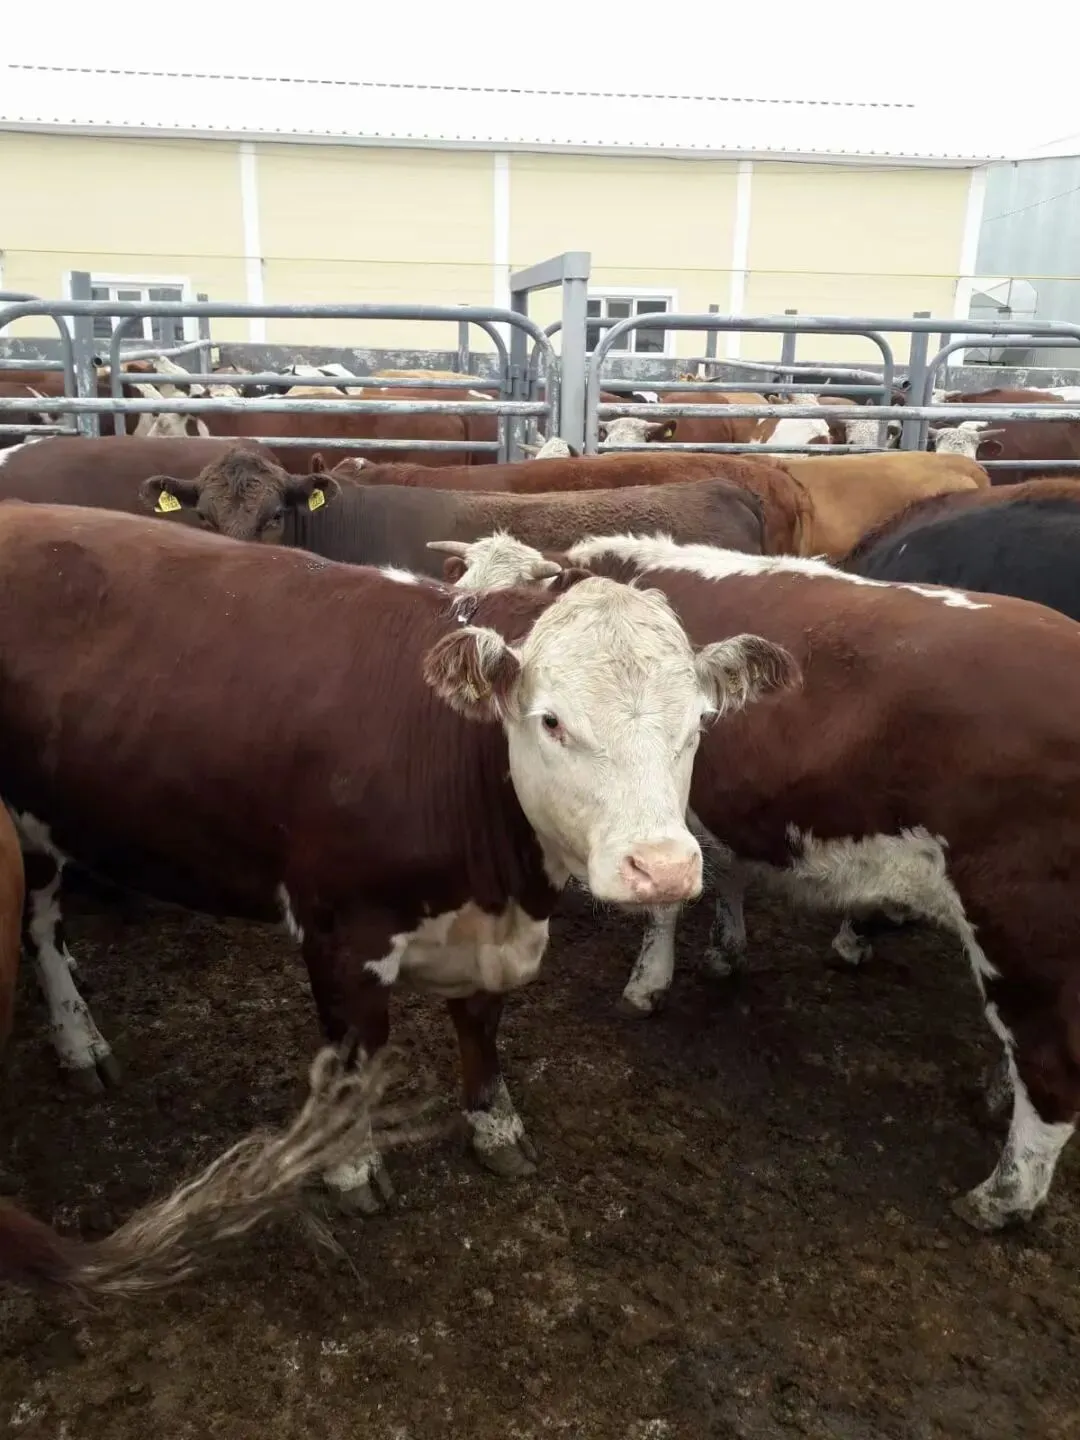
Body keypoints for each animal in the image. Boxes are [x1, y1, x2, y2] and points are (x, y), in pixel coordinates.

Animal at [0, 503, 794, 1211]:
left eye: (700, 722)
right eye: (552, 721)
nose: (662, 868)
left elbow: (480, 1025)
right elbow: (354, 1056)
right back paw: (78, 1040)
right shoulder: (338, 932)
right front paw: (350, 1167)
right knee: (38, 928)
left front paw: (495, 1126)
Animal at [446, 530, 1080, 1231]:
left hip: (1020, 923)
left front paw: (648, 984)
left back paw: (1001, 1197)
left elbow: (665, 908)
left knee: (1053, 1073)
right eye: (464, 586)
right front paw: (726, 951)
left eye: (502, 600)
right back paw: (997, 1095)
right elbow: (726, 873)